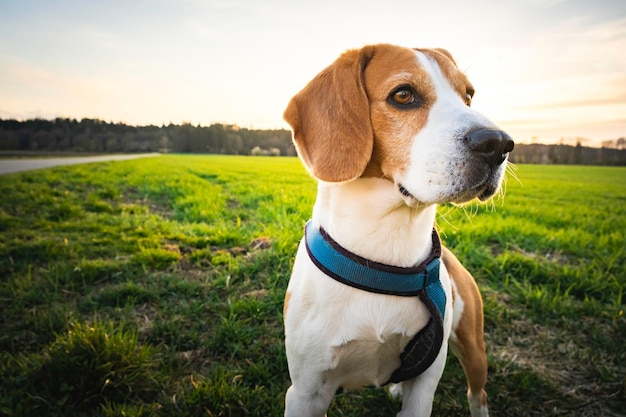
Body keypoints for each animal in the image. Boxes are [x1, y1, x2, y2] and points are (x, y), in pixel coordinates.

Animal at [282, 44, 512, 414]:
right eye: (403, 95)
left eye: (468, 96)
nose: (499, 143)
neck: (382, 255)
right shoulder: (306, 390)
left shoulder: (425, 383)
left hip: (474, 348)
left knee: (478, 394)